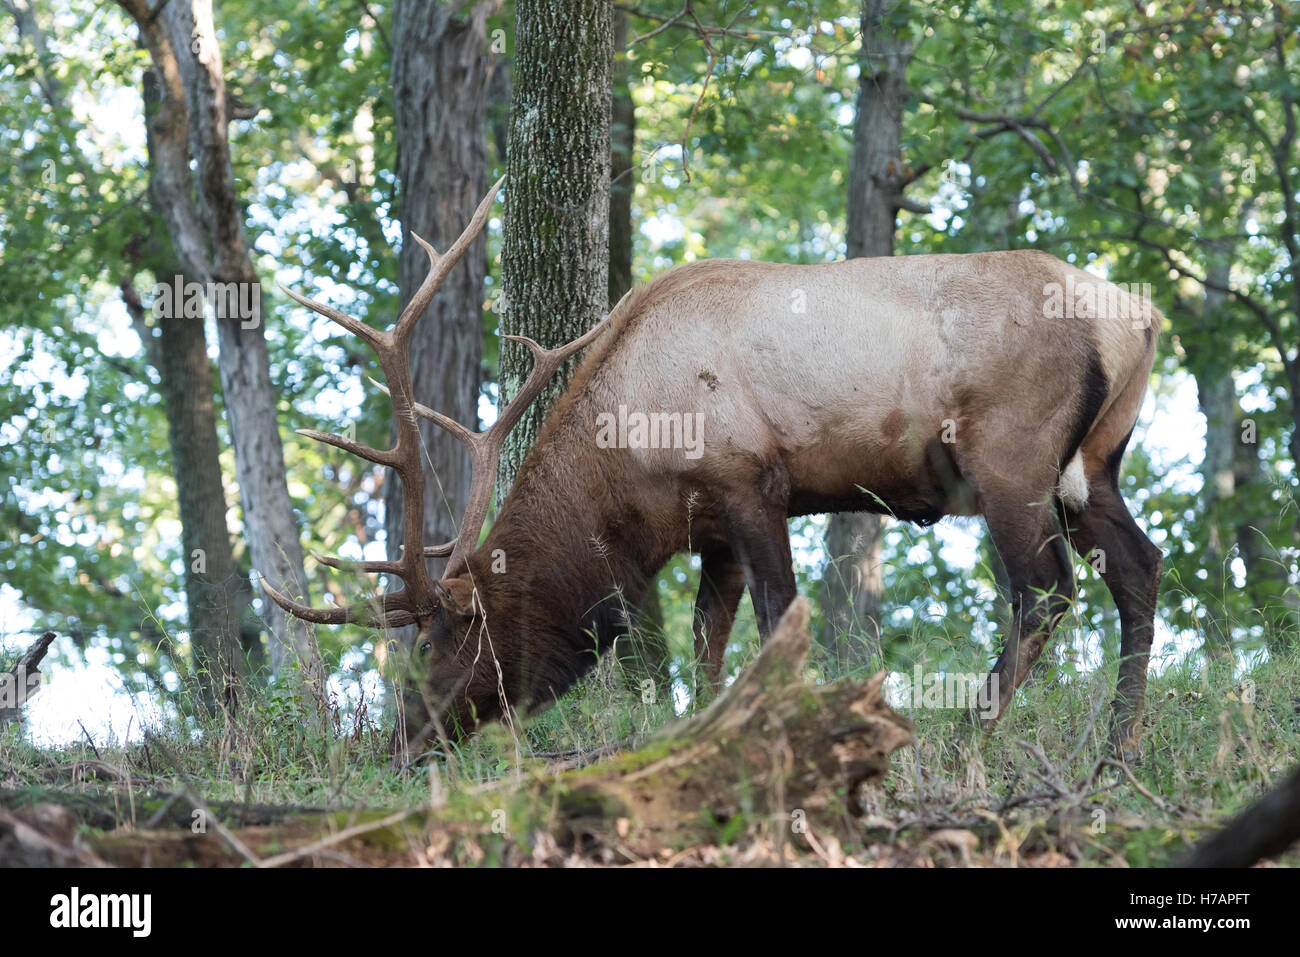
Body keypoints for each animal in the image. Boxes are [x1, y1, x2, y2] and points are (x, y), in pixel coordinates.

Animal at [258, 179, 1164, 764]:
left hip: (1011, 456)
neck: (631, 474)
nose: (397, 746)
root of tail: (1139, 317)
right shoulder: (712, 531)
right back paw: (1116, 752)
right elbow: (707, 646)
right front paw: (705, 735)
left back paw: (968, 741)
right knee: (1139, 565)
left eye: (443, 641)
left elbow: (777, 620)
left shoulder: (749, 482)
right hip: (1093, 465)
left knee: (1045, 589)